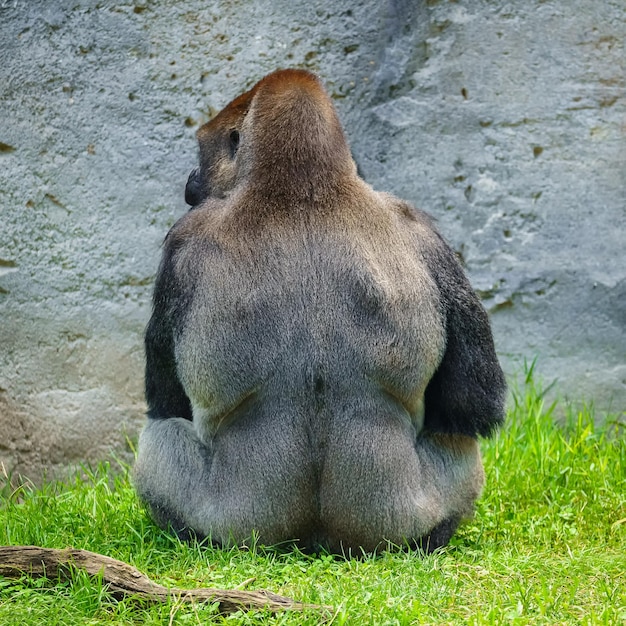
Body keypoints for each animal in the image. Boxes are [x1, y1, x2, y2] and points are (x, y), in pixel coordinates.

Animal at [134, 68, 504, 552]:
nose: (192, 180)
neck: (304, 182)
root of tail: (317, 544)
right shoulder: (427, 233)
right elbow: (473, 400)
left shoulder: (183, 239)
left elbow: (473, 405)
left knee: (158, 438)